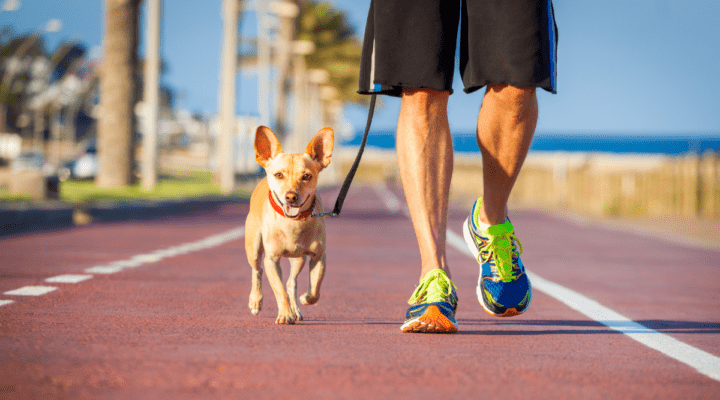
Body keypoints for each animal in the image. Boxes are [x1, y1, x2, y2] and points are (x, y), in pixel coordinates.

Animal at [245, 126, 334, 324]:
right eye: (279, 175)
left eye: (306, 176)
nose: (291, 196)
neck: (293, 223)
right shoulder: (271, 260)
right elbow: (279, 290)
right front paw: (285, 315)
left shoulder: (319, 257)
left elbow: (315, 289)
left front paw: (305, 299)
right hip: (253, 248)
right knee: (256, 271)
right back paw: (255, 301)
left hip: (298, 259)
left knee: (291, 282)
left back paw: (296, 309)